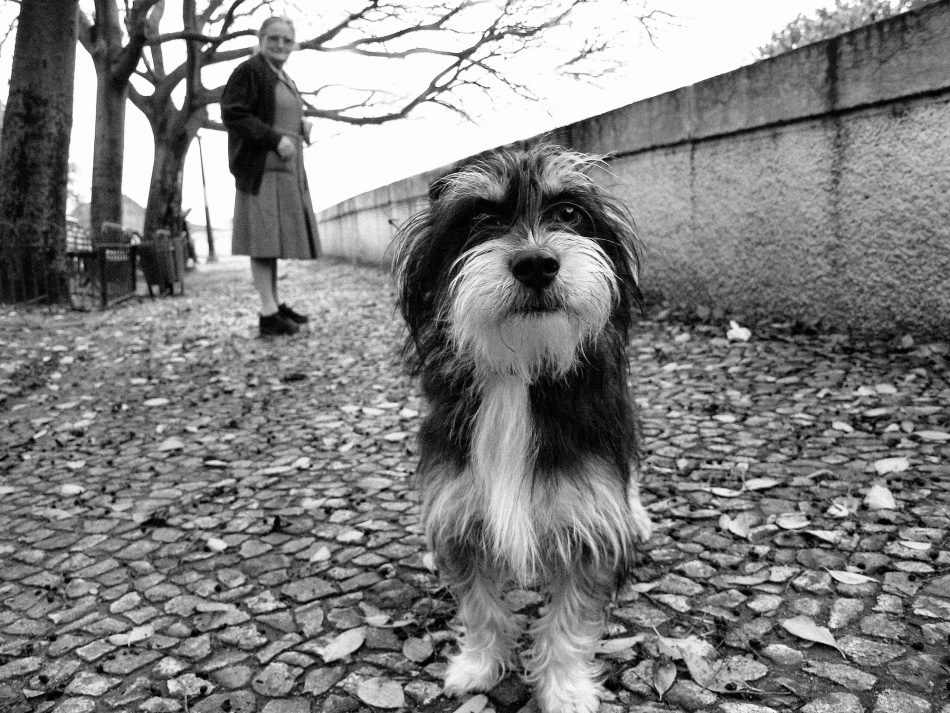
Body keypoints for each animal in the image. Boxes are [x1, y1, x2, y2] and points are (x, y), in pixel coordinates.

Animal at [394, 144, 652, 713]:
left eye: (569, 213)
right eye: (481, 219)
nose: (537, 263)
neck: (521, 371)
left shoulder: (589, 519)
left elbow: (568, 622)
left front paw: (566, 689)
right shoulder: (460, 512)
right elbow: (479, 606)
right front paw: (478, 666)